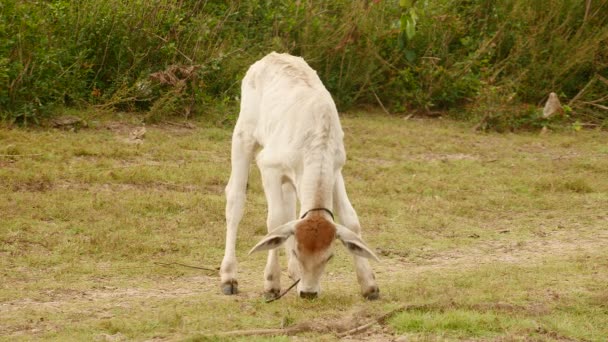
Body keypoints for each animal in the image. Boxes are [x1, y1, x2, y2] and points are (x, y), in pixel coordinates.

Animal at [218, 51, 380, 300]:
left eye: (329, 256)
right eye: (295, 251)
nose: (308, 292)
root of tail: (271, 56)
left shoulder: (336, 170)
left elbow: (351, 219)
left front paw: (369, 284)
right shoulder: (269, 167)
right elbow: (274, 221)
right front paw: (271, 284)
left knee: (289, 207)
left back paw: (293, 273)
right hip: (243, 134)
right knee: (235, 199)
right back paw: (228, 277)